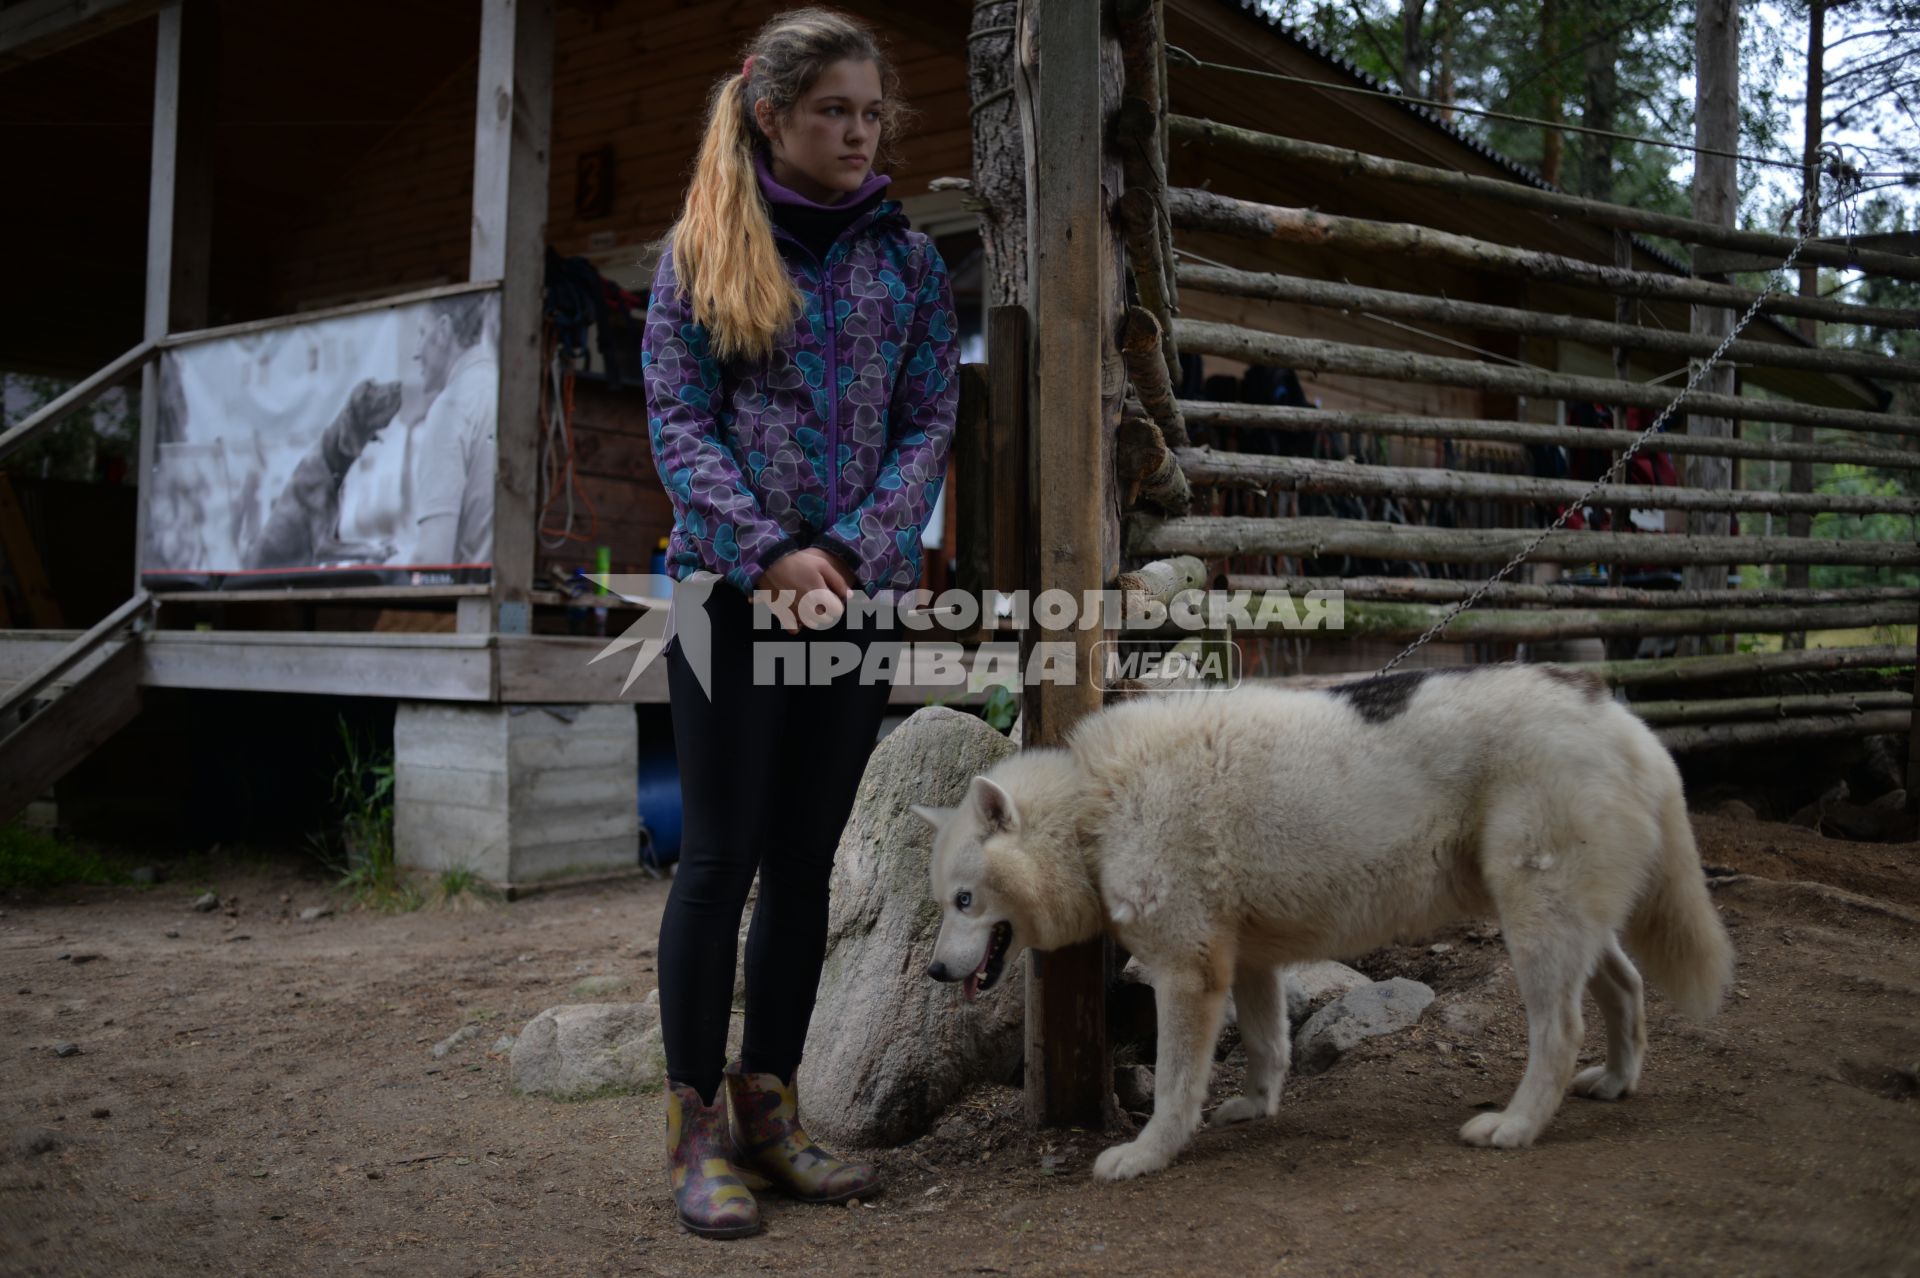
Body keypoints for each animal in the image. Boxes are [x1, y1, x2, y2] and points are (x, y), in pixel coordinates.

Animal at [906, 660, 1735, 1182]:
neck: (1095, 808)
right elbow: (1267, 1046)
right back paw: (1617, 1081)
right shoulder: (1248, 964)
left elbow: (1174, 1086)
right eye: (944, 903)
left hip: (1536, 934)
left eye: (965, 901)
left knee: (1559, 1034)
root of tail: (1621, 716)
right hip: (1569, 930)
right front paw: (1253, 1107)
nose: (937, 972)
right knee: (1626, 989)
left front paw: (1147, 1155)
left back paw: (1517, 1126)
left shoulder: (1189, 974)